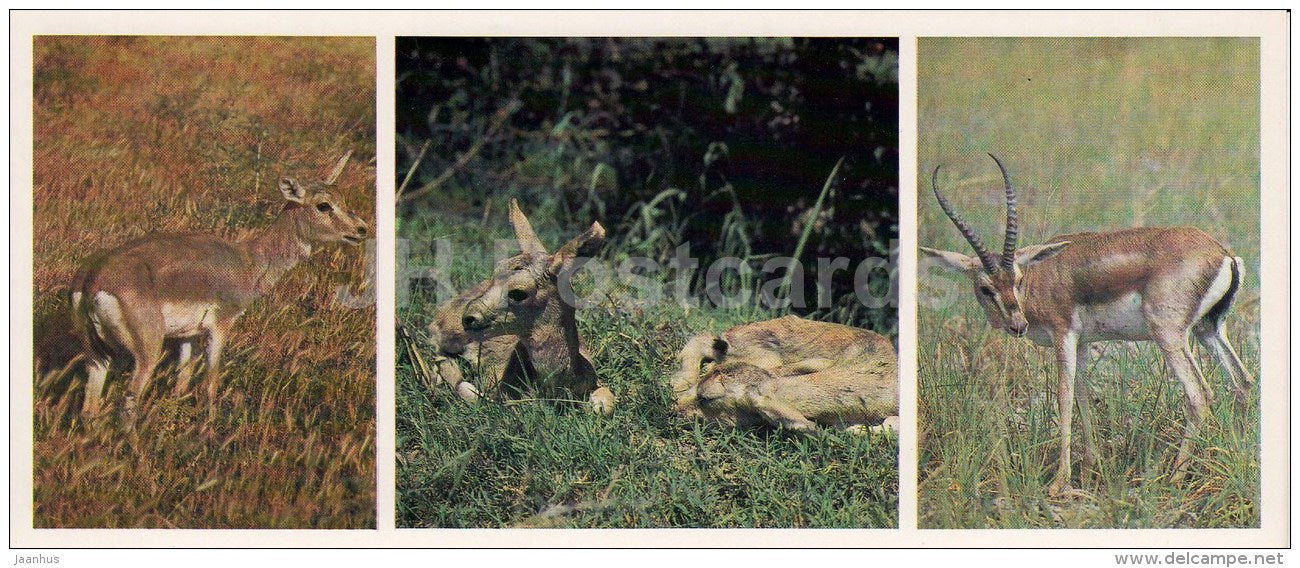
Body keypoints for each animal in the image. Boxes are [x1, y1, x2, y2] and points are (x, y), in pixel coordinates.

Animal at [70, 153, 369, 418]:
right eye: (323, 205)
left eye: (342, 198)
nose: (362, 229)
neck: (248, 260)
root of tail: (92, 280)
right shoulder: (220, 325)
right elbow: (211, 383)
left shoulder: (188, 335)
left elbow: (182, 382)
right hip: (146, 352)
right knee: (128, 405)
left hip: (97, 356)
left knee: (89, 409)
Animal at [920, 153, 1254, 496]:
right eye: (986, 287)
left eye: (1018, 279)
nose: (1018, 325)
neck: (1041, 279)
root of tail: (1222, 253)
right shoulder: (1082, 342)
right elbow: (1082, 396)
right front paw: (1091, 466)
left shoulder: (1063, 334)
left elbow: (1064, 397)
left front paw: (1059, 483)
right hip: (1208, 330)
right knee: (1242, 381)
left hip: (1169, 335)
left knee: (1199, 394)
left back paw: (1173, 476)